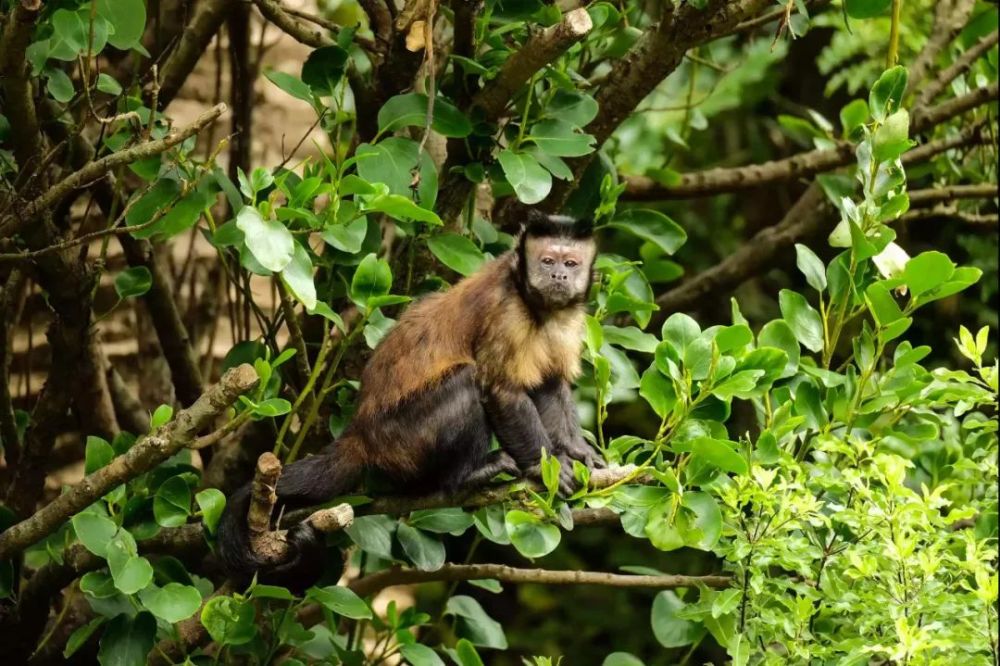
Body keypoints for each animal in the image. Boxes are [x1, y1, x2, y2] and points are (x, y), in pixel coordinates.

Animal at [220, 210, 604, 584]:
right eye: (547, 260)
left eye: (571, 263)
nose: (558, 275)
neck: (537, 307)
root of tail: (360, 436)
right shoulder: (506, 311)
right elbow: (501, 389)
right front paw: (546, 464)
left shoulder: (567, 321)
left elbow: (550, 386)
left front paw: (576, 451)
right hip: (401, 441)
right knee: (467, 381)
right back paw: (467, 475)